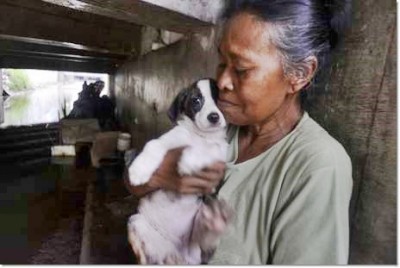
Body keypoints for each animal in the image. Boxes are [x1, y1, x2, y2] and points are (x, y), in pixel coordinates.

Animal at [126, 77, 233, 264]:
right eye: (196, 101)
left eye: (220, 98)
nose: (213, 117)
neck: (201, 136)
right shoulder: (170, 139)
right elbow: (153, 145)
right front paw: (138, 170)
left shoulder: (220, 156)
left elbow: (208, 150)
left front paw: (189, 161)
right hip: (136, 222)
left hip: (198, 229)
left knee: (205, 239)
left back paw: (215, 221)